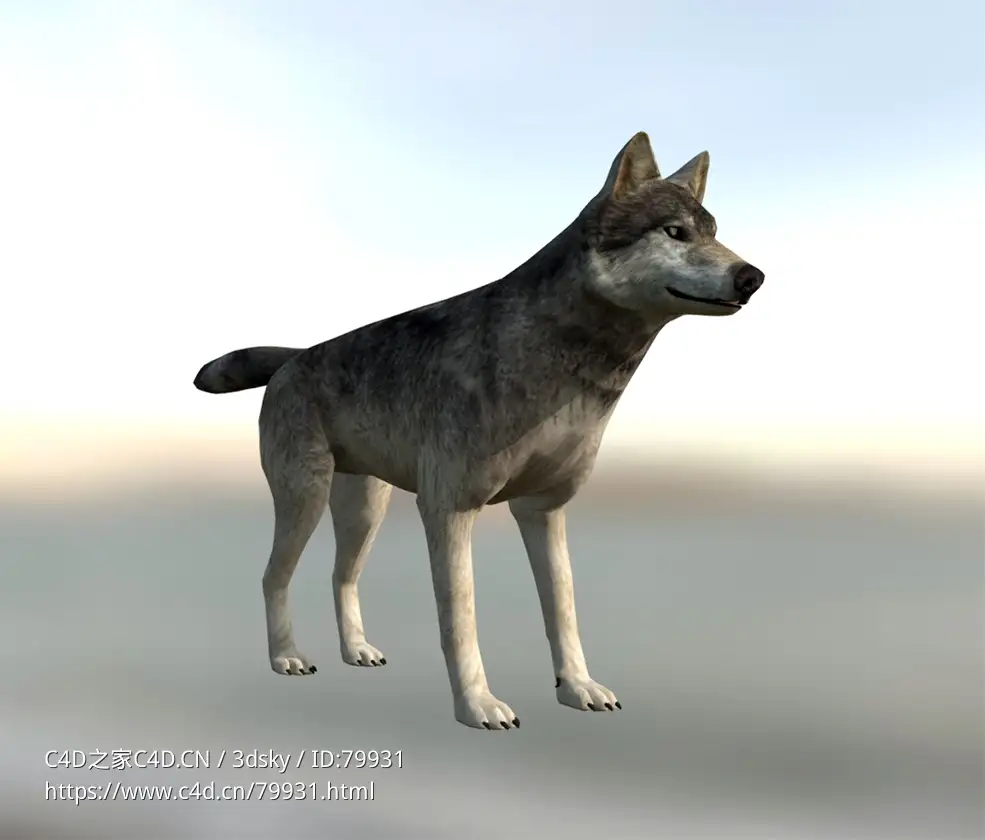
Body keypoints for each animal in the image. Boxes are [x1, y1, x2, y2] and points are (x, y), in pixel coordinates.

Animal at [193, 132, 764, 731]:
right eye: (675, 233)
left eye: (714, 233)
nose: (753, 277)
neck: (565, 366)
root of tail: (295, 356)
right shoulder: (449, 509)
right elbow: (461, 623)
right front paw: (477, 706)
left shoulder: (544, 511)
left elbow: (563, 612)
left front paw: (577, 687)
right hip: (304, 500)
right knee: (272, 577)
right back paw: (286, 657)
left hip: (364, 511)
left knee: (340, 577)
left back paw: (357, 651)